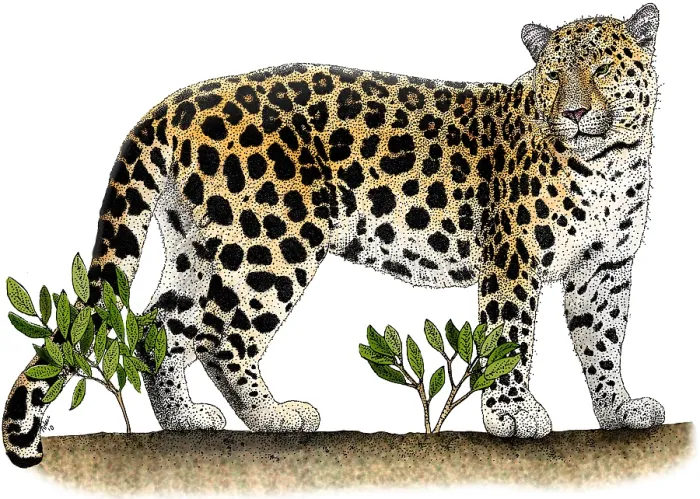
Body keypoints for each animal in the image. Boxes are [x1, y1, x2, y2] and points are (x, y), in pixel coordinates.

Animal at [3, 3, 664, 467]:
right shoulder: (514, 260)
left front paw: (620, 408)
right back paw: (273, 416)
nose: (574, 112)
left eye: (602, 69)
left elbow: (603, 343)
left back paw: (186, 419)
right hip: (271, 243)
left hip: (198, 247)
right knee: (222, 336)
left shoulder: (604, 272)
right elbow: (511, 340)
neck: (610, 164)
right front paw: (512, 414)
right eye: (552, 76)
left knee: (157, 325)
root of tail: (173, 103)